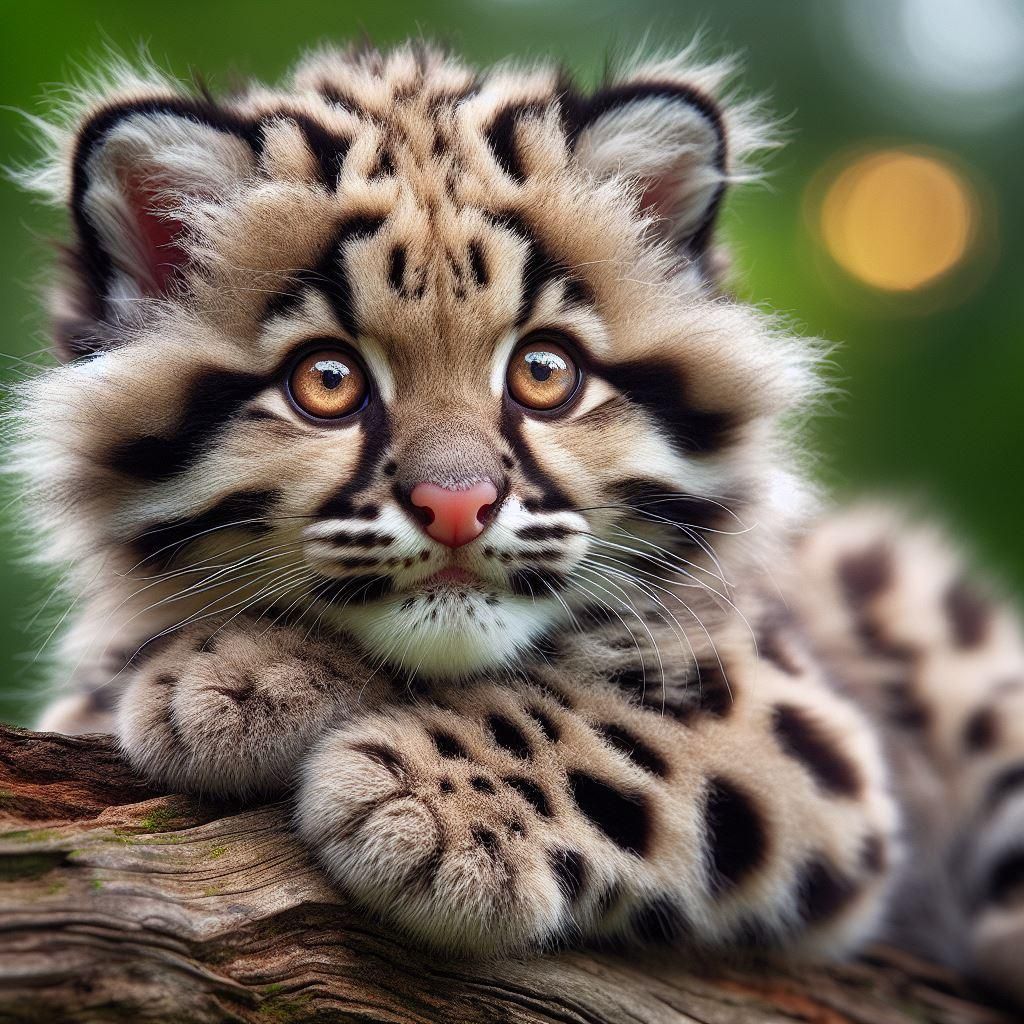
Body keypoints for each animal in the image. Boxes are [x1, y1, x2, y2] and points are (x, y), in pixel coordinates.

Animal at [8, 40, 1024, 1006]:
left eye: (544, 372)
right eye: (327, 381)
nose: (457, 502)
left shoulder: (797, 716)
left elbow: (619, 730)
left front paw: (425, 804)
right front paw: (240, 671)